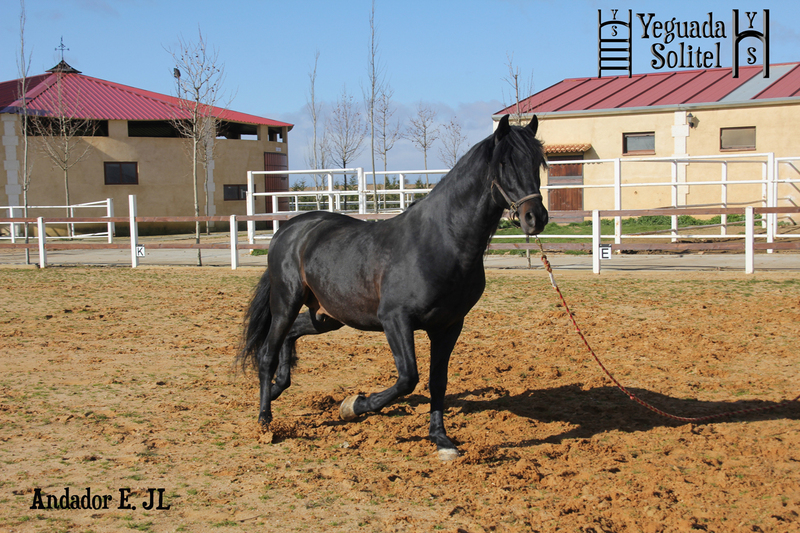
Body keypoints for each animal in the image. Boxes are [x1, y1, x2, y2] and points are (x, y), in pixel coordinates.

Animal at [237, 115, 548, 460]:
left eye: (537, 162)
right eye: (505, 162)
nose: (536, 218)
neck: (441, 241)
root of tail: (288, 230)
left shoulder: (449, 326)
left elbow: (437, 381)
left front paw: (441, 439)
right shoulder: (396, 320)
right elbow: (408, 378)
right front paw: (354, 405)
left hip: (327, 316)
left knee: (292, 335)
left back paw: (279, 387)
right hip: (286, 302)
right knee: (267, 352)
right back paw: (265, 420)